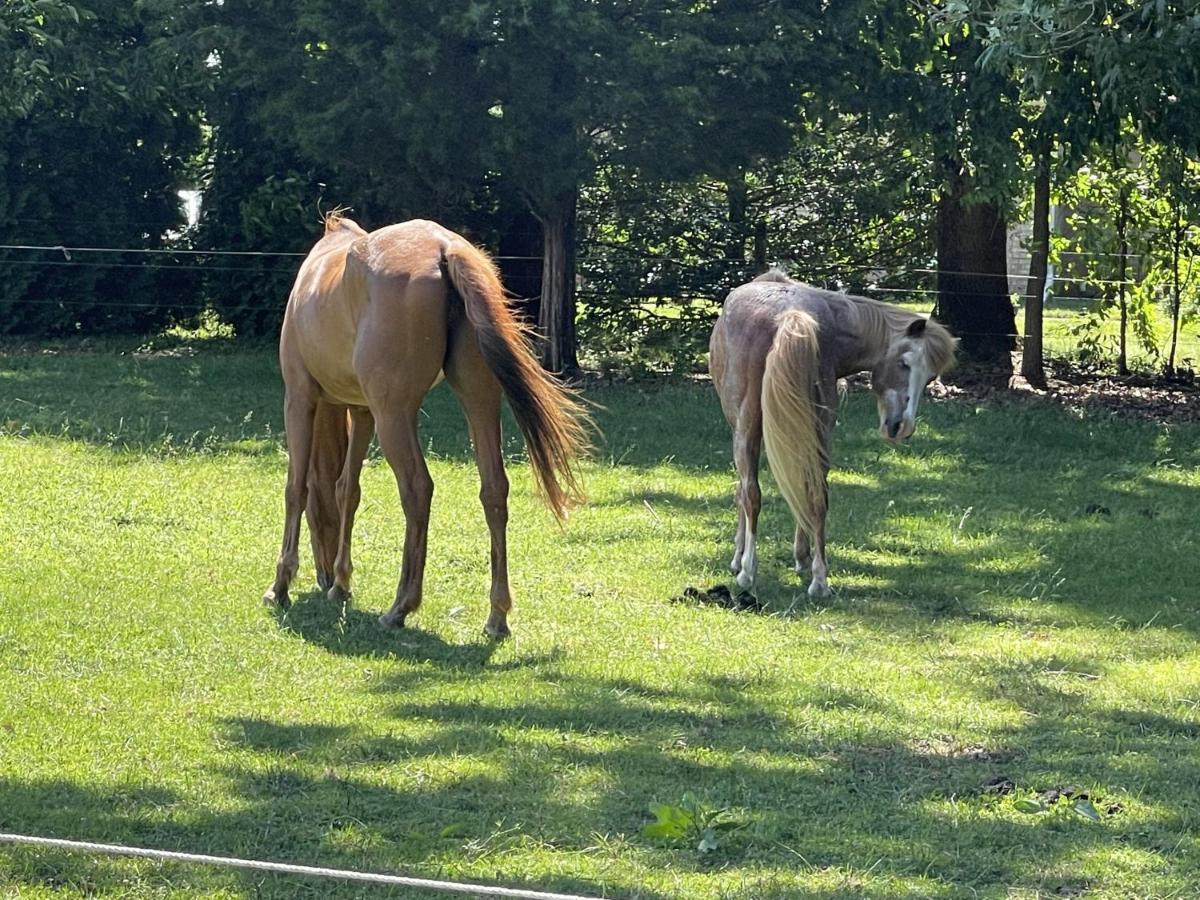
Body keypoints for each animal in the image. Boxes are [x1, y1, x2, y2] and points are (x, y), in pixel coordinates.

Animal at [264, 213, 590, 638]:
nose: (324, 577)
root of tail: (444, 248)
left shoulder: (300, 398)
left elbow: (297, 490)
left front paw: (281, 584)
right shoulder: (362, 411)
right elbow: (346, 490)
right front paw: (341, 583)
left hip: (395, 415)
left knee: (417, 489)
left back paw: (401, 606)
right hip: (477, 399)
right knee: (494, 491)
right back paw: (497, 616)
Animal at [710, 273, 955, 600]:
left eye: (928, 377)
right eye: (904, 363)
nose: (901, 427)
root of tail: (789, 316)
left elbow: (743, 491)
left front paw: (739, 558)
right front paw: (801, 557)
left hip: (749, 426)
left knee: (752, 493)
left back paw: (748, 571)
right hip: (817, 428)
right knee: (816, 494)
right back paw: (819, 579)